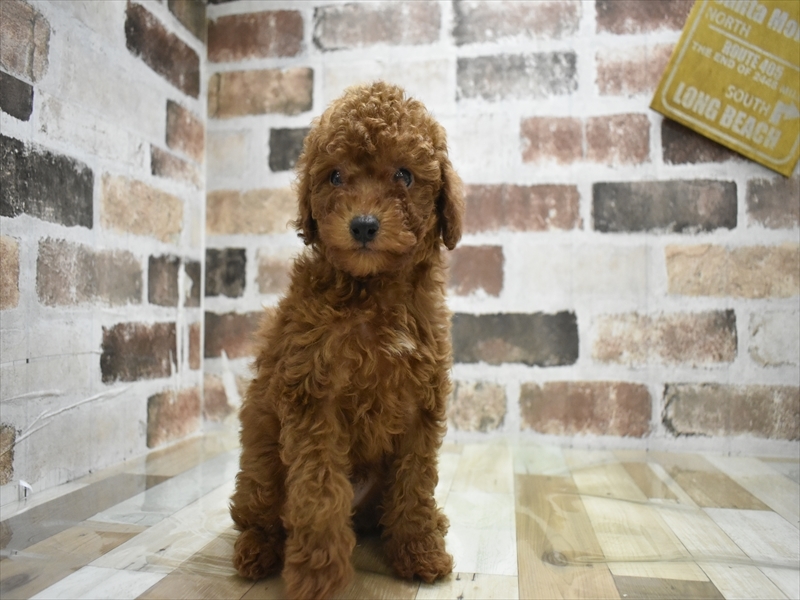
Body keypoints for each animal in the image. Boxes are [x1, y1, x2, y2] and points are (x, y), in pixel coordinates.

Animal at [229, 81, 464, 599]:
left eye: (404, 175)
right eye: (335, 176)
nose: (363, 225)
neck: (373, 291)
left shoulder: (422, 404)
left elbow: (416, 482)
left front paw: (420, 551)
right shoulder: (313, 398)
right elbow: (319, 496)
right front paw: (318, 578)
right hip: (260, 470)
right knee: (257, 513)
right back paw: (255, 552)